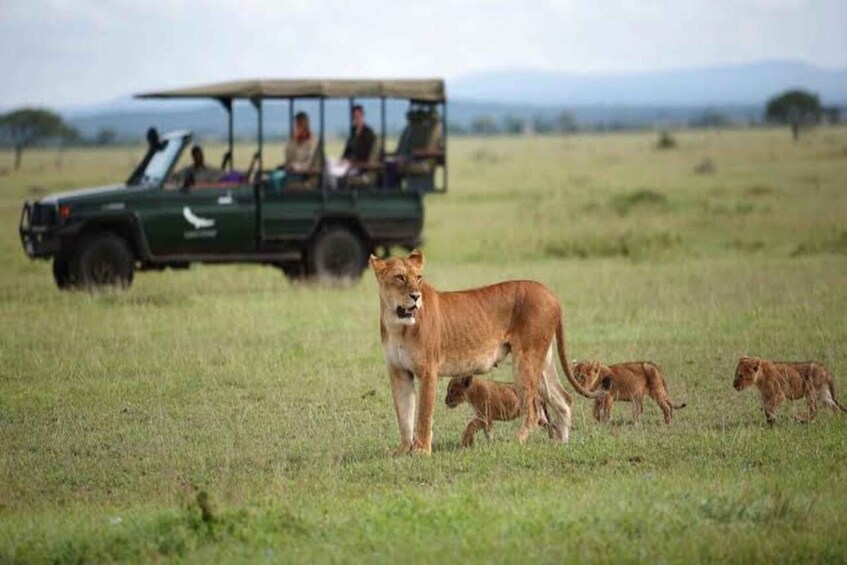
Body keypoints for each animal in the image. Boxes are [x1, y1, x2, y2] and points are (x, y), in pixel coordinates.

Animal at [369, 249, 603, 455]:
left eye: (418, 278)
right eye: (399, 277)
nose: (416, 296)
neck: (397, 325)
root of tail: (550, 293)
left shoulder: (428, 371)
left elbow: (423, 415)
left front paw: (421, 451)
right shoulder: (399, 372)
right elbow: (404, 415)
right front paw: (403, 451)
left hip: (525, 360)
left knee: (533, 411)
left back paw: (516, 443)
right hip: (543, 361)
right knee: (564, 400)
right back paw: (561, 445)